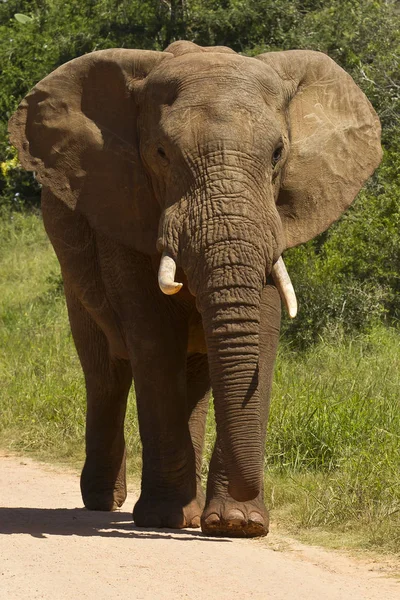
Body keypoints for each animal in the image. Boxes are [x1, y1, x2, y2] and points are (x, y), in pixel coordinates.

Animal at [9, 41, 382, 540]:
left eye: (278, 153)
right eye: (161, 153)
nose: (250, 508)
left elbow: (261, 334)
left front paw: (236, 525)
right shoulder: (124, 209)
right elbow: (153, 340)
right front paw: (163, 519)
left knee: (195, 376)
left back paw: (189, 512)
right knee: (106, 372)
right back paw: (108, 502)